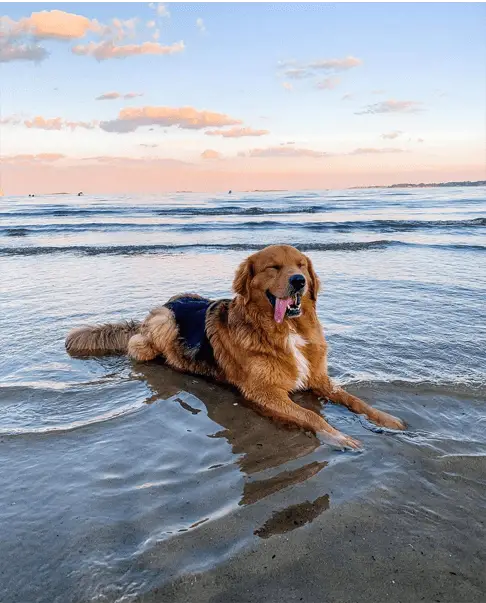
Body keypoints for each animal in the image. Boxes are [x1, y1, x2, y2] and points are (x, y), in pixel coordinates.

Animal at [65, 244, 406, 448]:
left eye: (301, 265)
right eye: (273, 267)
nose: (299, 281)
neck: (286, 330)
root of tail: (161, 306)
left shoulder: (320, 379)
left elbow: (356, 401)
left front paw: (387, 420)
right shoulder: (265, 393)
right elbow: (311, 416)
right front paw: (338, 437)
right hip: (164, 326)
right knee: (140, 346)